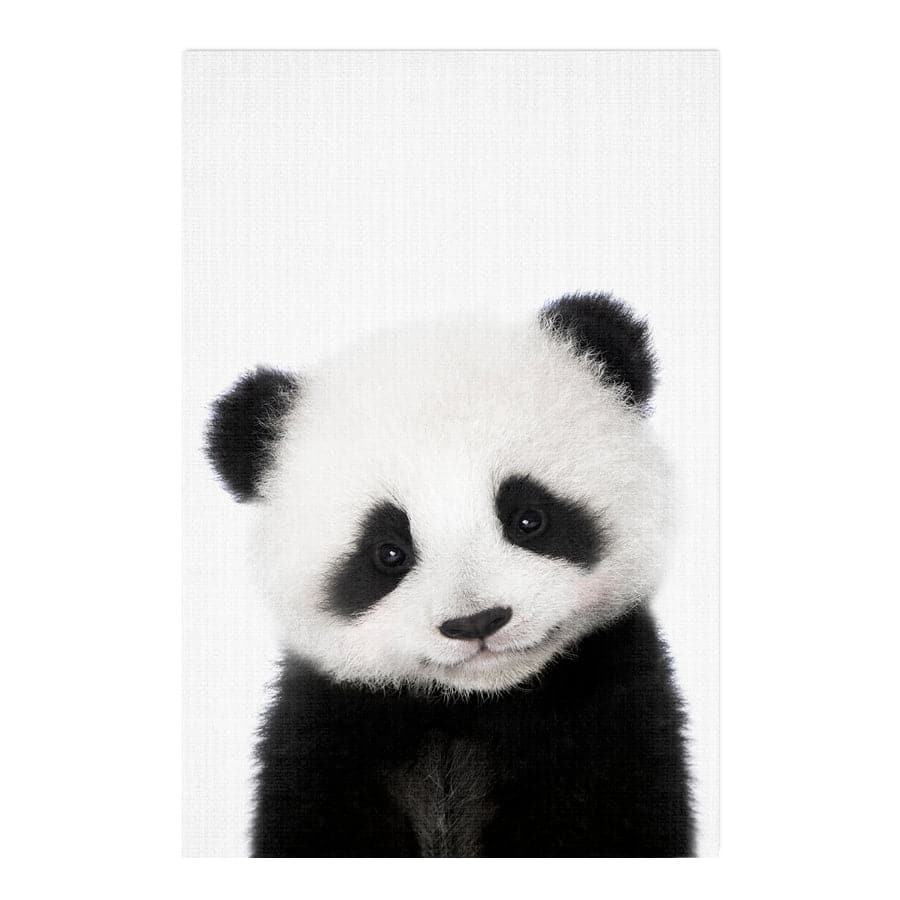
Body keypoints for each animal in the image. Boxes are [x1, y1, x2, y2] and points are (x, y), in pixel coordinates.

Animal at [206, 292, 694, 857]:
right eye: (388, 552)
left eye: (528, 518)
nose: (477, 622)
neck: (470, 707)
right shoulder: (327, 732)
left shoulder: (612, 715)